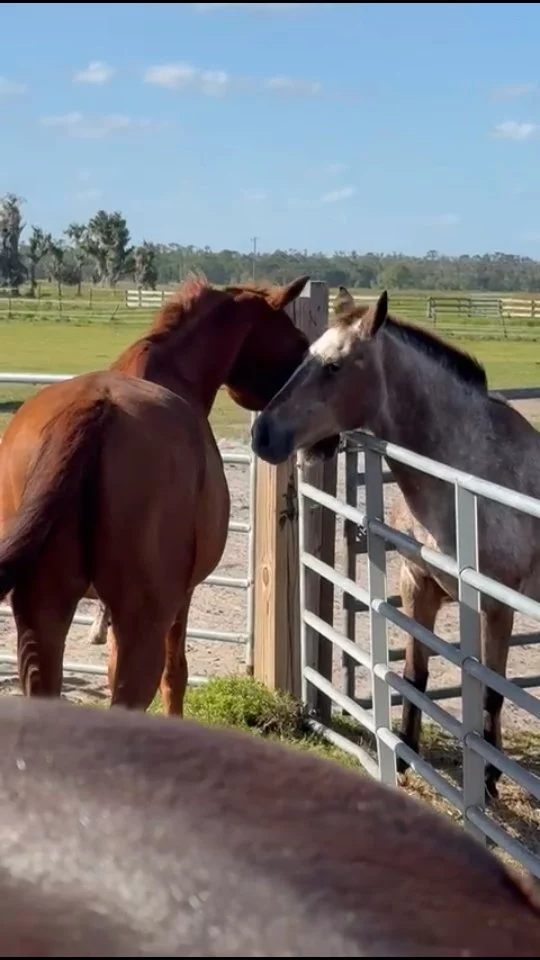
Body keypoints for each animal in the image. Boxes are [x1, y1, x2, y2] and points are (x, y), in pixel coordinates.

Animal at [0, 275, 321, 714]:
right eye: (300, 343)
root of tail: (94, 413)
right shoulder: (181, 599)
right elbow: (176, 675)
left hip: (44, 614)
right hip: (143, 621)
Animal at [251, 288, 540, 799]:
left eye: (334, 366)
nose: (262, 434)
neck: (469, 473)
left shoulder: (495, 606)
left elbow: (491, 690)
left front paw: (487, 780)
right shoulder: (417, 586)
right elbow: (414, 675)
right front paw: (404, 756)